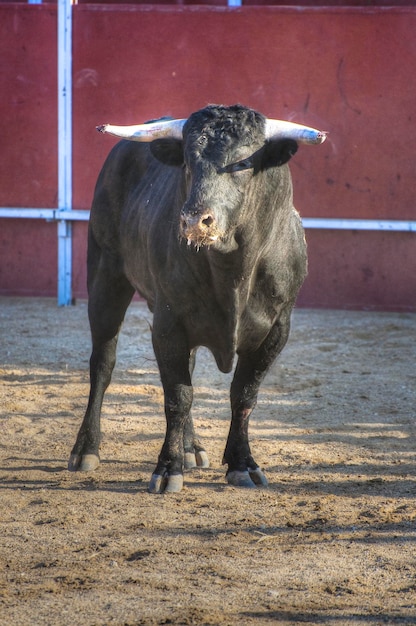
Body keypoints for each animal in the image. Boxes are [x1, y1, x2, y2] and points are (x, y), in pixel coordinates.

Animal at [68, 103, 324, 492]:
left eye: (242, 164)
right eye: (188, 164)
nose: (193, 220)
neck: (233, 267)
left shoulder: (277, 328)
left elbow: (242, 394)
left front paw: (242, 464)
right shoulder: (168, 322)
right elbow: (178, 396)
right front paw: (167, 469)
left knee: (185, 369)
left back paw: (191, 449)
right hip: (104, 275)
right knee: (102, 363)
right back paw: (86, 449)